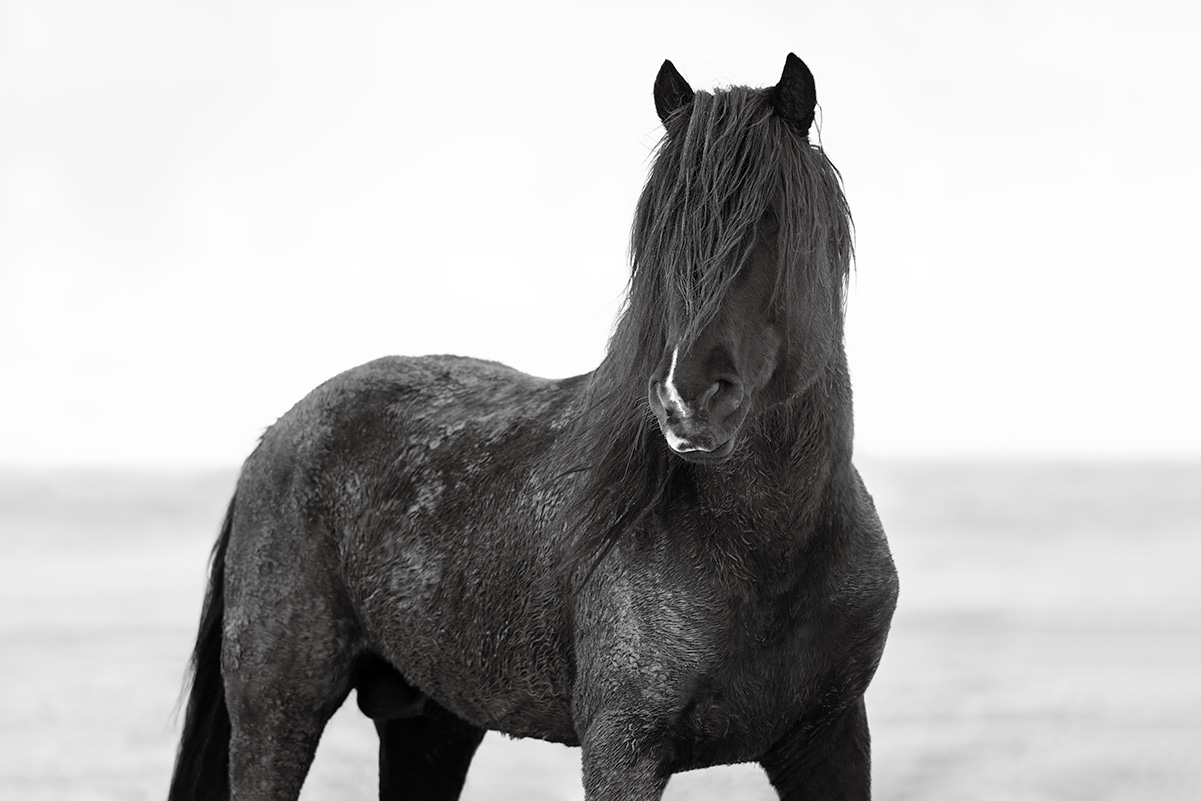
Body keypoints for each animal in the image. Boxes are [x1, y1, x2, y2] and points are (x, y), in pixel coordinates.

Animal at [168, 53, 898, 801]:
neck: (767, 552)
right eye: (658, 229)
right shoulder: (623, 753)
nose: (685, 398)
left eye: (775, 220)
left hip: (429, 723)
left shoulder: (829, 742)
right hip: (276, 719)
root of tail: (275, 436)